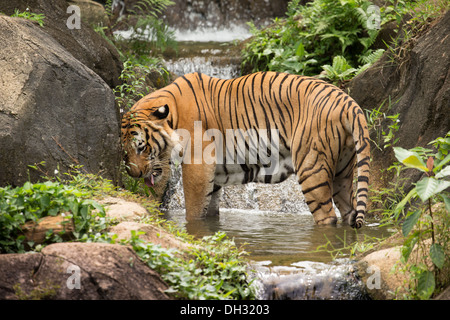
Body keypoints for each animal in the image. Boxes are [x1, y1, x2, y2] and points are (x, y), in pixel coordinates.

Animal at [121, 71, 370, 229]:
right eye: (125, 150)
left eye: (141, 147)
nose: (133, 173)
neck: (174, 116)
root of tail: (347, 101)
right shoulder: (213, 177)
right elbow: (210, 211)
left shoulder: (197, 167)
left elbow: (193, 211)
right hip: (342, 171)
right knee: (349, 211)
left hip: (312, 168)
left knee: (327, 217)